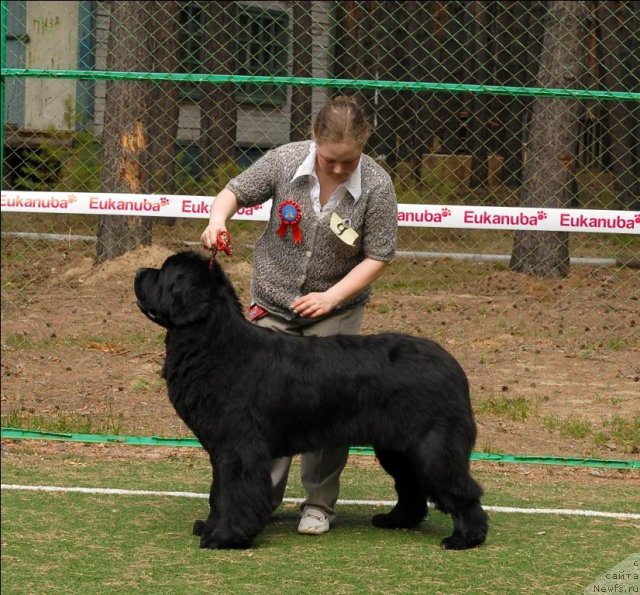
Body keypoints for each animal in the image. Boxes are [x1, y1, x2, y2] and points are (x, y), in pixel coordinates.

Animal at [132, 250, 488, 548]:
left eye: (164, 273)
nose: (138, 271)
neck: (213, 342)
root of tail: (452, 365)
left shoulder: (240, 448)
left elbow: (233, 493)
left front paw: (225, 537)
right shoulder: (222, 450)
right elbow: (218, 492)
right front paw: (209, 527)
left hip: (432, 446)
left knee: (460, 487)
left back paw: (466, 538)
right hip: (397, 447)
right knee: (411, 485)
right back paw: (397, 520)